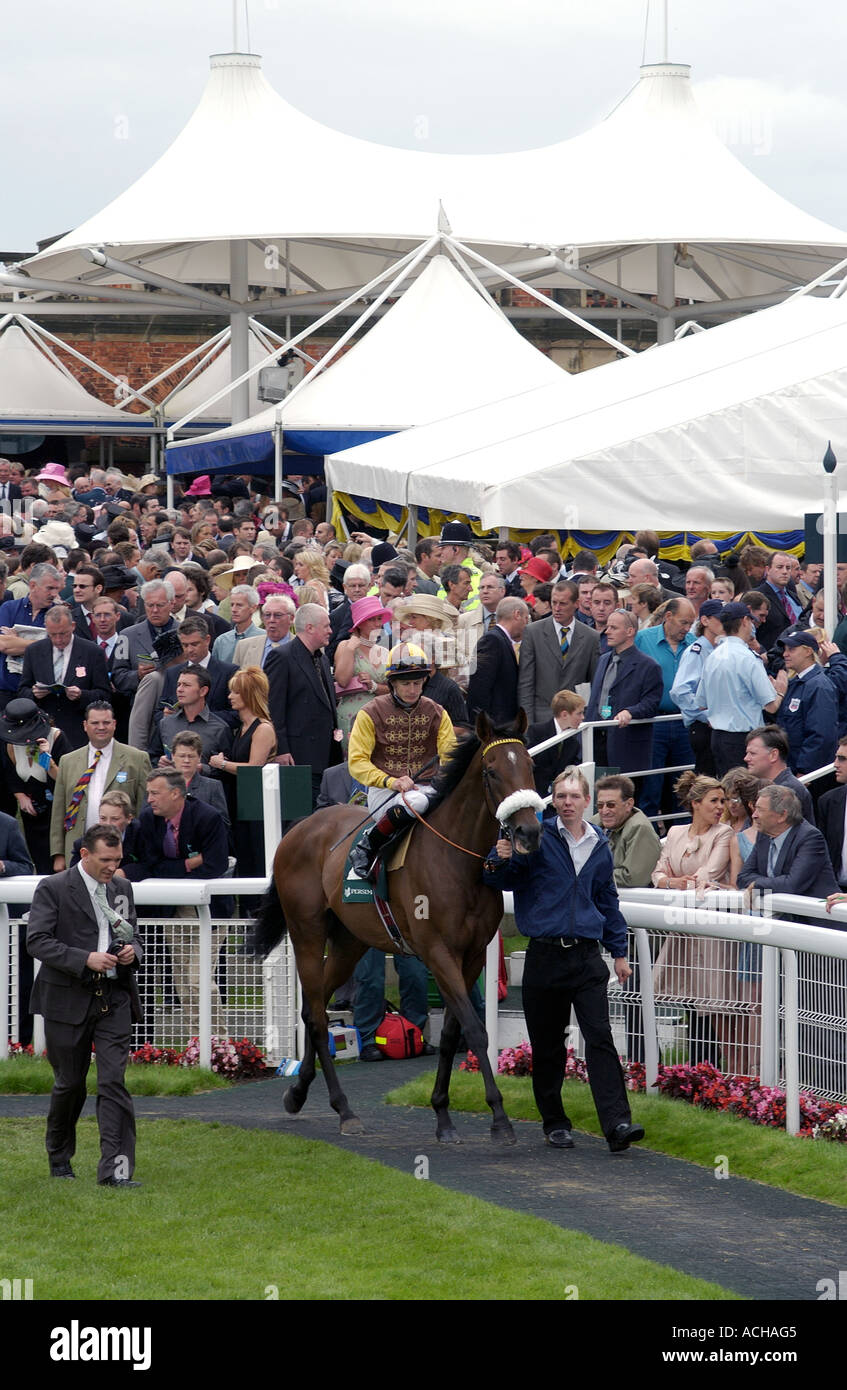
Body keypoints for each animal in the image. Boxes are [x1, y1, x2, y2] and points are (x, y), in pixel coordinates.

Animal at [250, 711, 542, 1145]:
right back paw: (345, 1110)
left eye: (529, 766)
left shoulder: (471, 955)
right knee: (317, 1014)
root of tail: (299, 828)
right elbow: (476, 1030)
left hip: (350, 942)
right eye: (491, 771)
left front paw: (442, 1114)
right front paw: (500, 1119)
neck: (457, 861)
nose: (528, 832)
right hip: (307, 932)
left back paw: (298, 1092)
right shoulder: (438, 953)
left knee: (312, 1008)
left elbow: (453, 1033)